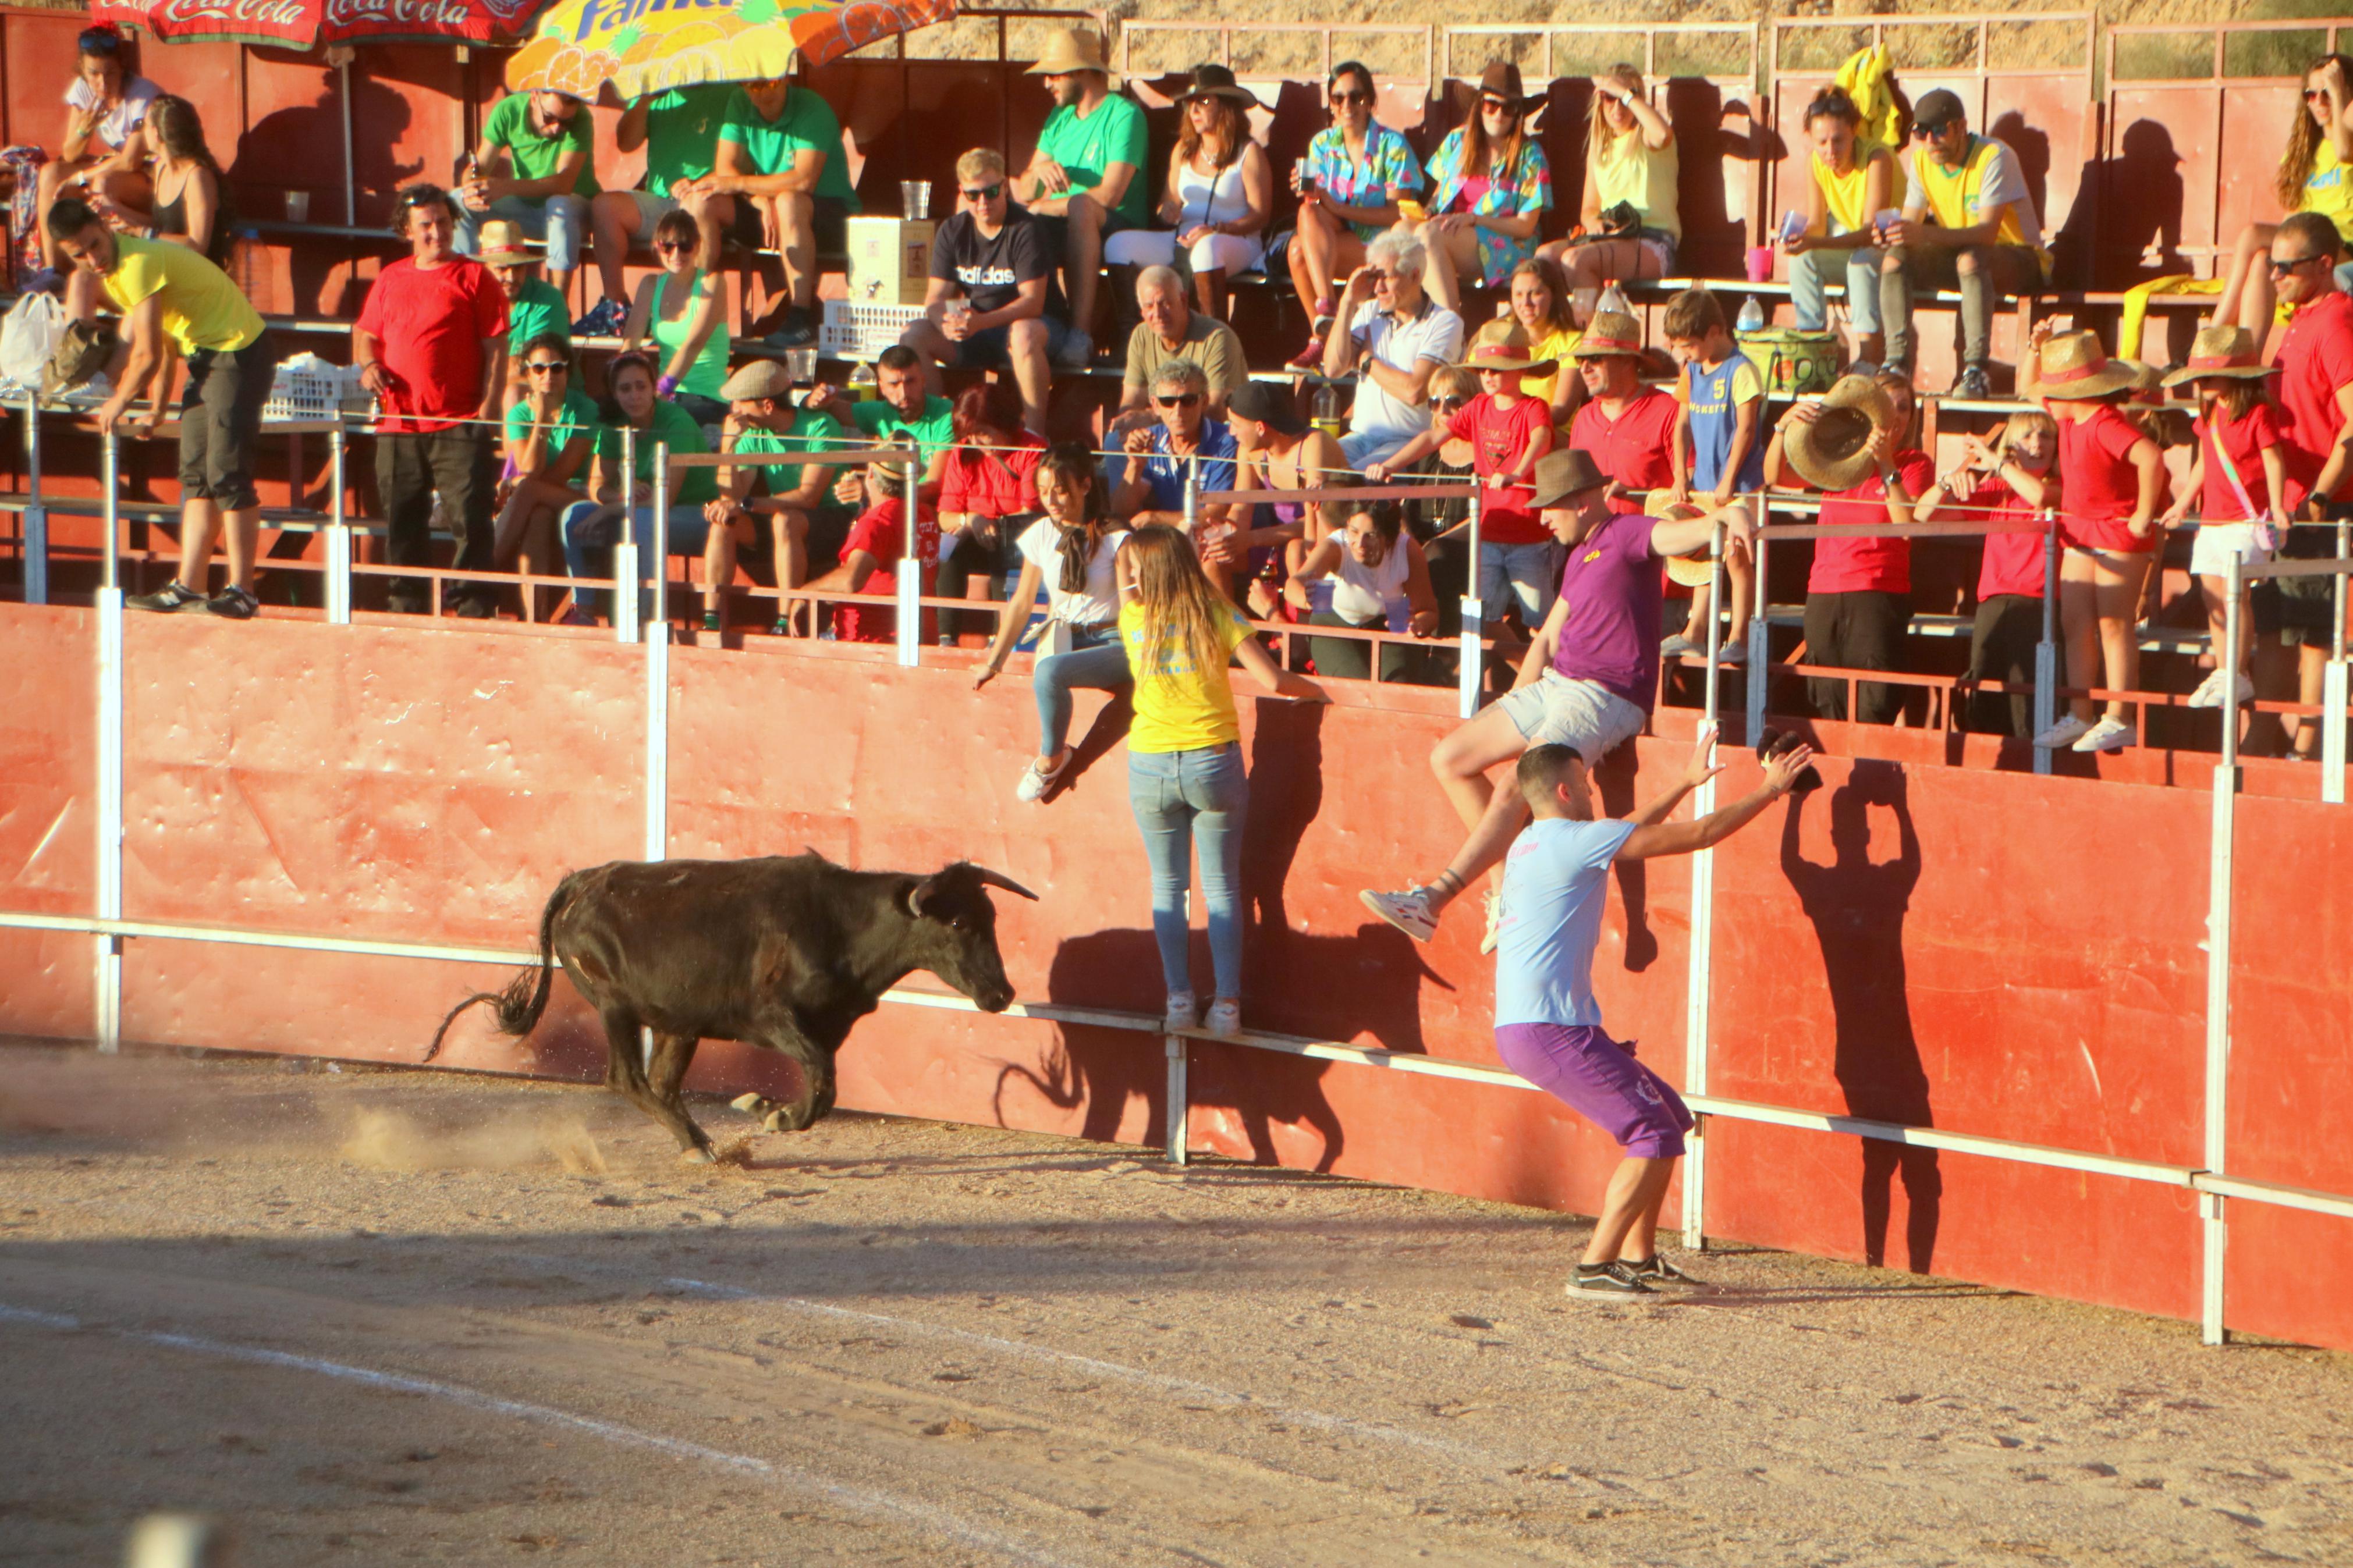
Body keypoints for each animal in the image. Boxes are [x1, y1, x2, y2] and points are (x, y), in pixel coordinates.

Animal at [428, 851, 1035, 1161]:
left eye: (991, 917)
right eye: (958, 922)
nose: (1001, 994)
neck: (842, 924)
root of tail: (581, 880)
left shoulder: (830, 1025)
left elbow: (824, 1084)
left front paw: (767, 1107)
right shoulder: (770, 1018)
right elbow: (822, 1080)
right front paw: (774, 1113)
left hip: (678, 1022)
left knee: (661, 1082)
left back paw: (699, 1143)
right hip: (616, 1006)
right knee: (627, 1078)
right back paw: (701, 1146)